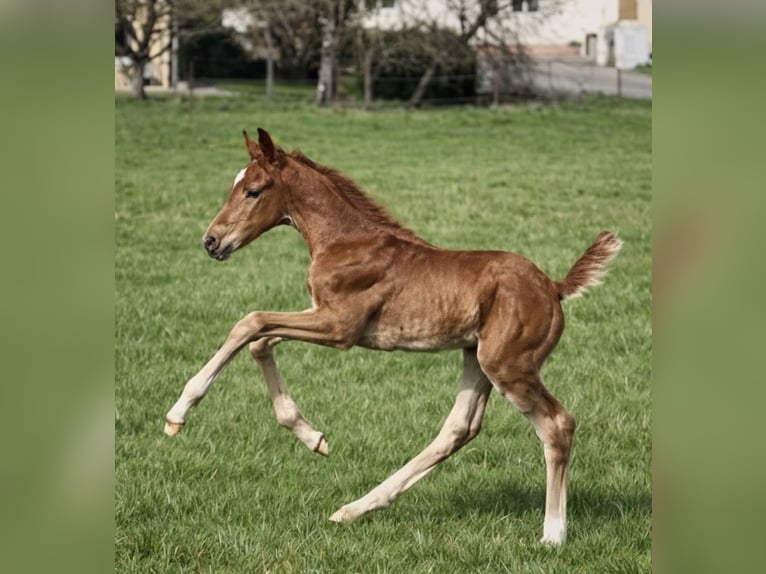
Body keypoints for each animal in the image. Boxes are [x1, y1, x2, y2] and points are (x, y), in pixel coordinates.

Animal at [164, 128, 622, 545]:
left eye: (253, 191)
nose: (211, 241)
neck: (345, 240)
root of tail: (553, 287)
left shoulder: (339, 326)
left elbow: (250, 322)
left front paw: (177, 413)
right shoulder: (321, 316)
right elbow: (261, 340)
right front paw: (313, 438)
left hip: (508, 365)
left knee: (557, 424)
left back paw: (553, 534)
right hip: (476, 356)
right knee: (458, 429)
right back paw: (354, 509)